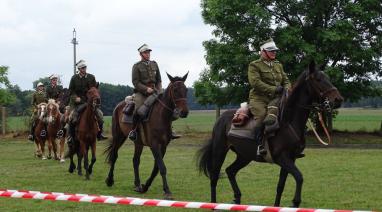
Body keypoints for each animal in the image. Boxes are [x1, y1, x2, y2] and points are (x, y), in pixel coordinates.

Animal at [197, 61, 344, 207]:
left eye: (328, 78)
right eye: (318, 79)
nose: (338, 99)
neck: (288, 121)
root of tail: (221, 118)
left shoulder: (291, 159)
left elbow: (280, 185)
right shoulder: (282, 158)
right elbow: (299, 177)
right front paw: (295, 202)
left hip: (244, 156)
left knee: (230, 171)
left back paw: (237, 199)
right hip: (219, 151)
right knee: (214, 177)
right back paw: (213, 203)